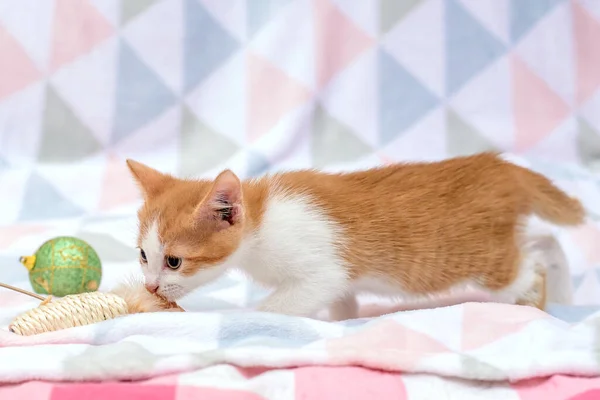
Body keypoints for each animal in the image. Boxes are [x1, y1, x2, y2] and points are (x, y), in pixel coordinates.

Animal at [125, 152, 580, 320]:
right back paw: (564, 289)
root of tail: (499, 166)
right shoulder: (338, 279)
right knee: (545, 239)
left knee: (526, 267)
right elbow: (343, 299)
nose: (151, 286)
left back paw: (539, 300)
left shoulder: (321, 270)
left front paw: (252, 316)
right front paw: (342, 321)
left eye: (174, 261)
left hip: (482, 259)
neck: (262, 218)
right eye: (144, 255)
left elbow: (285, 303)